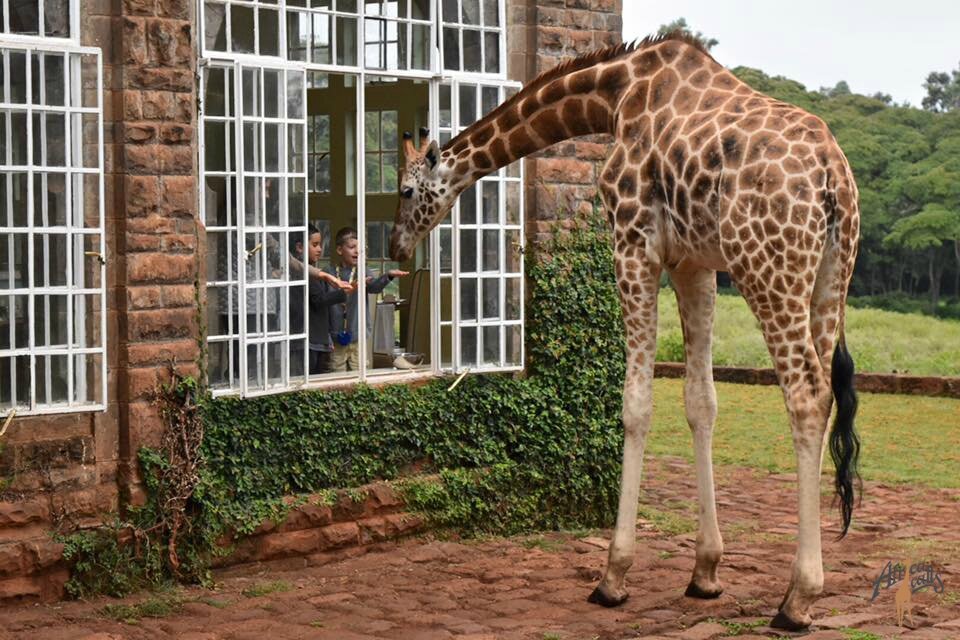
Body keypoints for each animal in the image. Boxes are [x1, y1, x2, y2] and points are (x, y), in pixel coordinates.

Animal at [389, 32, 861, 631]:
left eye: (406, 191)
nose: (395, 247)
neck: (613, 96)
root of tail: (832, 177)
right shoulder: (693, 263)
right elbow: (700, 401)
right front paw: (705, 572)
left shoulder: (634, 242)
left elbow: (636, 403)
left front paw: (613, 576)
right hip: (829, 278)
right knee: (823, 399)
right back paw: (797, 588)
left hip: (766, 269)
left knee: (805, 396)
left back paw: (798, 600)